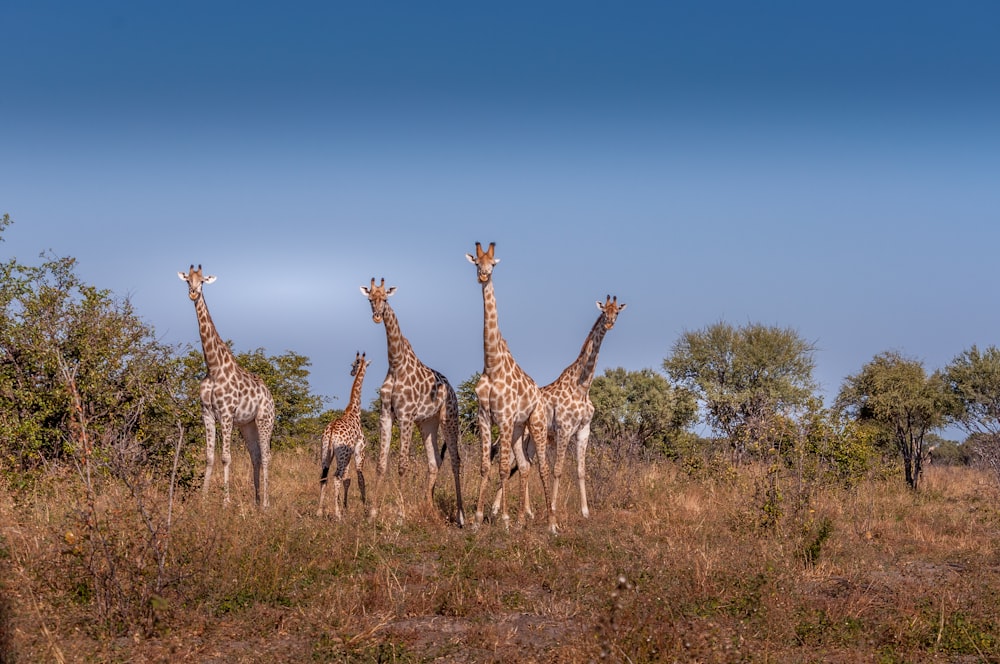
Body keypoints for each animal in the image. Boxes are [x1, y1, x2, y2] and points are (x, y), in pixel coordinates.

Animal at [177, 264, 276, 508]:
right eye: (187, 280)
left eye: (203, 281)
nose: (193, 293)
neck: (213, 367)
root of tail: (270, 396)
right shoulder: (207, 413)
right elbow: (209, 456)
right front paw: (203, 500)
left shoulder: (227, 413)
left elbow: (225, 457)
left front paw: (225, 501)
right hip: (247, 425)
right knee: (255, 456)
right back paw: (256, 501)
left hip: (265, 420)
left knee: (266, 456)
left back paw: (266, 503)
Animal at [316, 352, 372, 520]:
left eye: (354, 364)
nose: (352, 372)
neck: (354, 411)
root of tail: (331, 431)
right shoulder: (359, 450)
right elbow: (360, 478)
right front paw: (365, 509)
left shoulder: (348, 454)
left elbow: (347, 479)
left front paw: (345, 507)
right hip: (342, 454)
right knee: (336, 477)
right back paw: (337, 515)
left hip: (326, 452)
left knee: (325, 476)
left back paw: (319, 511)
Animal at [362, 278, 466, 528]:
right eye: (370, 299)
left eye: (385, 299)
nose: (377, 317)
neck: (396, 364)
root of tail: (451, 389)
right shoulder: (386, 414)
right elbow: (381, 463)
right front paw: (372, 513)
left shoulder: (406, 415)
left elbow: (402, 465)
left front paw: (401, 515)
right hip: (427, 423)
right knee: (434, 461)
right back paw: (430, 508)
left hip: (449, 418)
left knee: (456, 461)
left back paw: (461, 516)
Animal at [466, 244, 560, 536]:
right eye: (477, 263)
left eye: (493, 264)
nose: (483, 276)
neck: (492, 365)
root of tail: (540, 395)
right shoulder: (485, 418)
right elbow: (485, 466)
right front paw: (477, 519)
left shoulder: (505, 419)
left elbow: (503, 468)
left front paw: (504, 520)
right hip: (520, 430)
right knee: (526, 466)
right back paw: (521, 521)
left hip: (536, 424)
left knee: (543, 467)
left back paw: (551, 523)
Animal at [492, 294, 624, 520]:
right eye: (603, 311)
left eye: (616, 312)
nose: (609, 323)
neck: (582, 388)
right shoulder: (564, 428)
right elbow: (558, 469)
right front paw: (552, 509)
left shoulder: (583, 430)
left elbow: (580, 471)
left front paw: (585, 511)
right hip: (521, 434)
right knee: (513, 464)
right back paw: (496, 509)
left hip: (530, 439)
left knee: (523, 465)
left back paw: (526, 512)